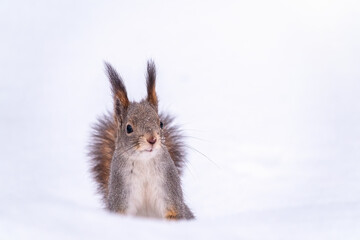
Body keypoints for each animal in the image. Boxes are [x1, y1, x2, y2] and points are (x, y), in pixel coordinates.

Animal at [88, 60, 194, 219]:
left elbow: (173, 213)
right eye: (129, 128)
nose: (152, 139)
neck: (144, 162)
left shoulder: (168, 187)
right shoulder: (121, 193)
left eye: (161, 123)